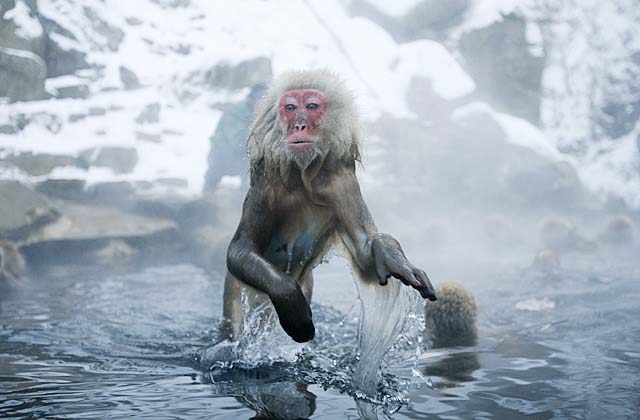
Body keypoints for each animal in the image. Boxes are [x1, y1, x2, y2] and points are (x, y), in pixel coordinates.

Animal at [222, 69, 438, 342]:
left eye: (312, 106)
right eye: (290, 108)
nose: (299, 125)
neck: (302, 173)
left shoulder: (342, 182)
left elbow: (366, 256)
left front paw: (394, 258)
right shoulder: (265, 181)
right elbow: (240, 250)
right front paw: (294, 310)